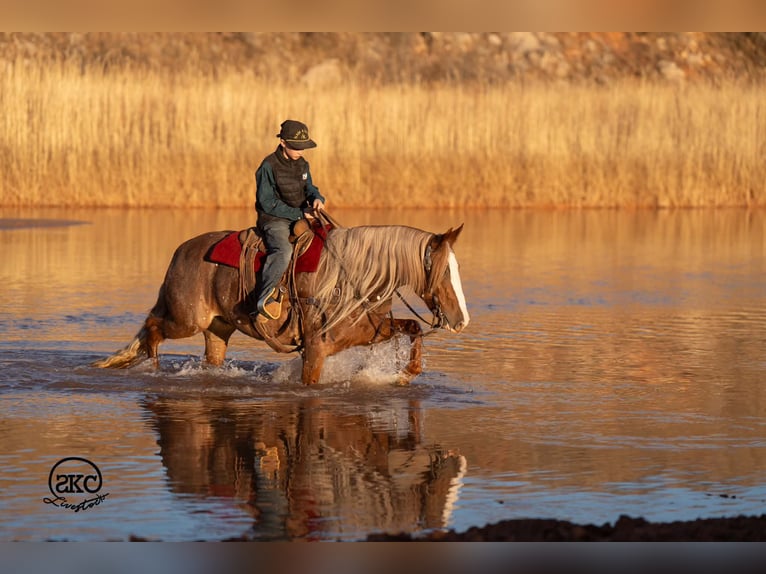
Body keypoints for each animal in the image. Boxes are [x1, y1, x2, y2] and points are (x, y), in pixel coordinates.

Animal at [92, 221, 470, 385]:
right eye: (443, 271)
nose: (461, 320)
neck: (351, 279)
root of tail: (182, 251)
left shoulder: (369, 332)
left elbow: (414, 328)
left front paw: (406, 375)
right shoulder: (315, 348)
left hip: (217, 328)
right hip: (186, 320)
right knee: (152, 329)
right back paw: (151, 368)